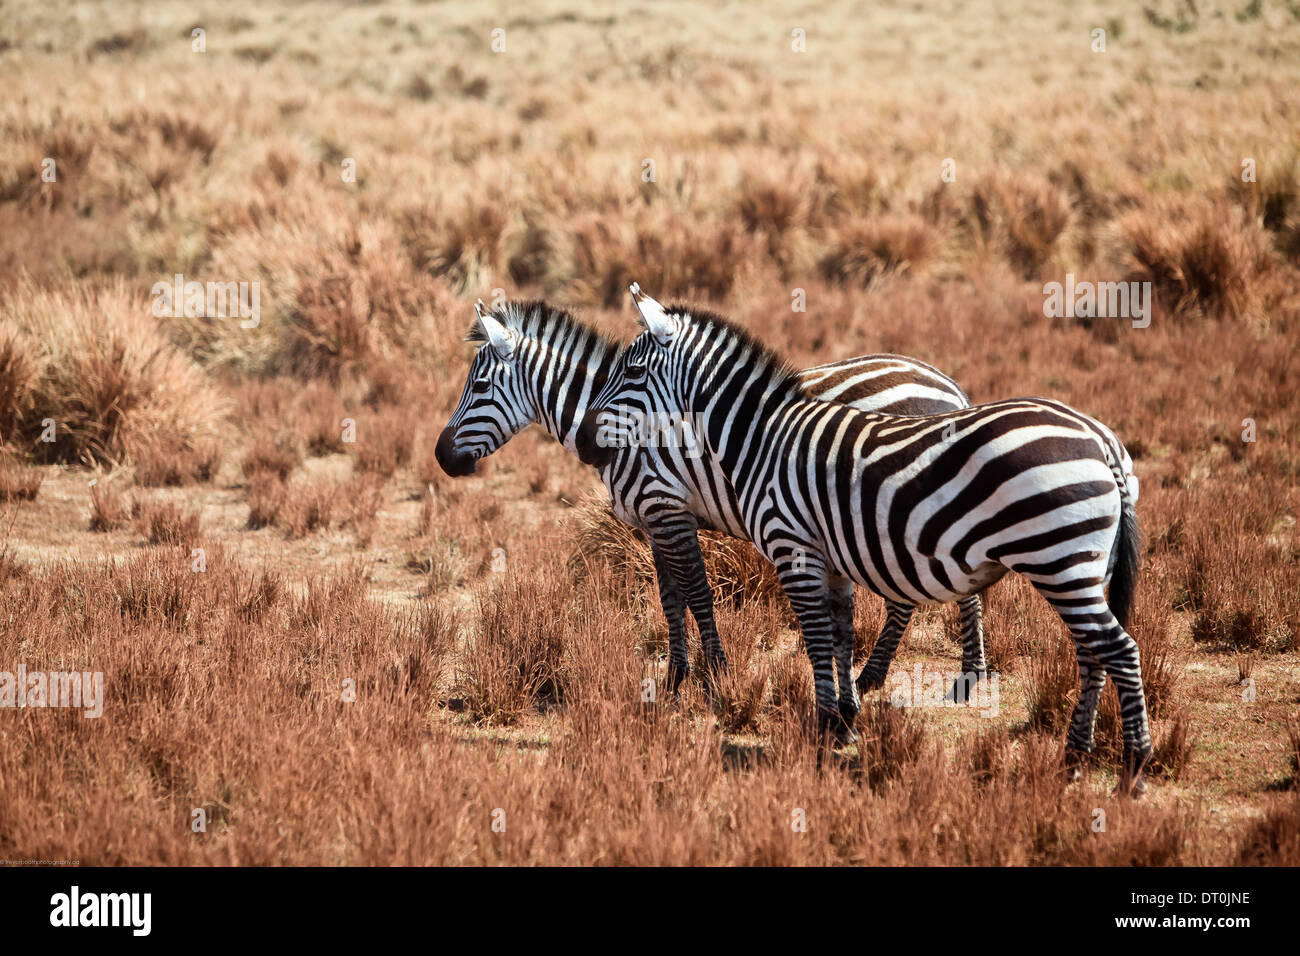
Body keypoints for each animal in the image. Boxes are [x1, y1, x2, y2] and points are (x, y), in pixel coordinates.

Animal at [436, 299, 982, 712]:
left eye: (479, 386)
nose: (441, 457)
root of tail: (947, 384)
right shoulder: (653, 521)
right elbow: (671, 600)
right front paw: (675, 679)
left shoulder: (667, 508)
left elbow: (697, 594)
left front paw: (715, 675)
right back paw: (905, 676)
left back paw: (939, 677)